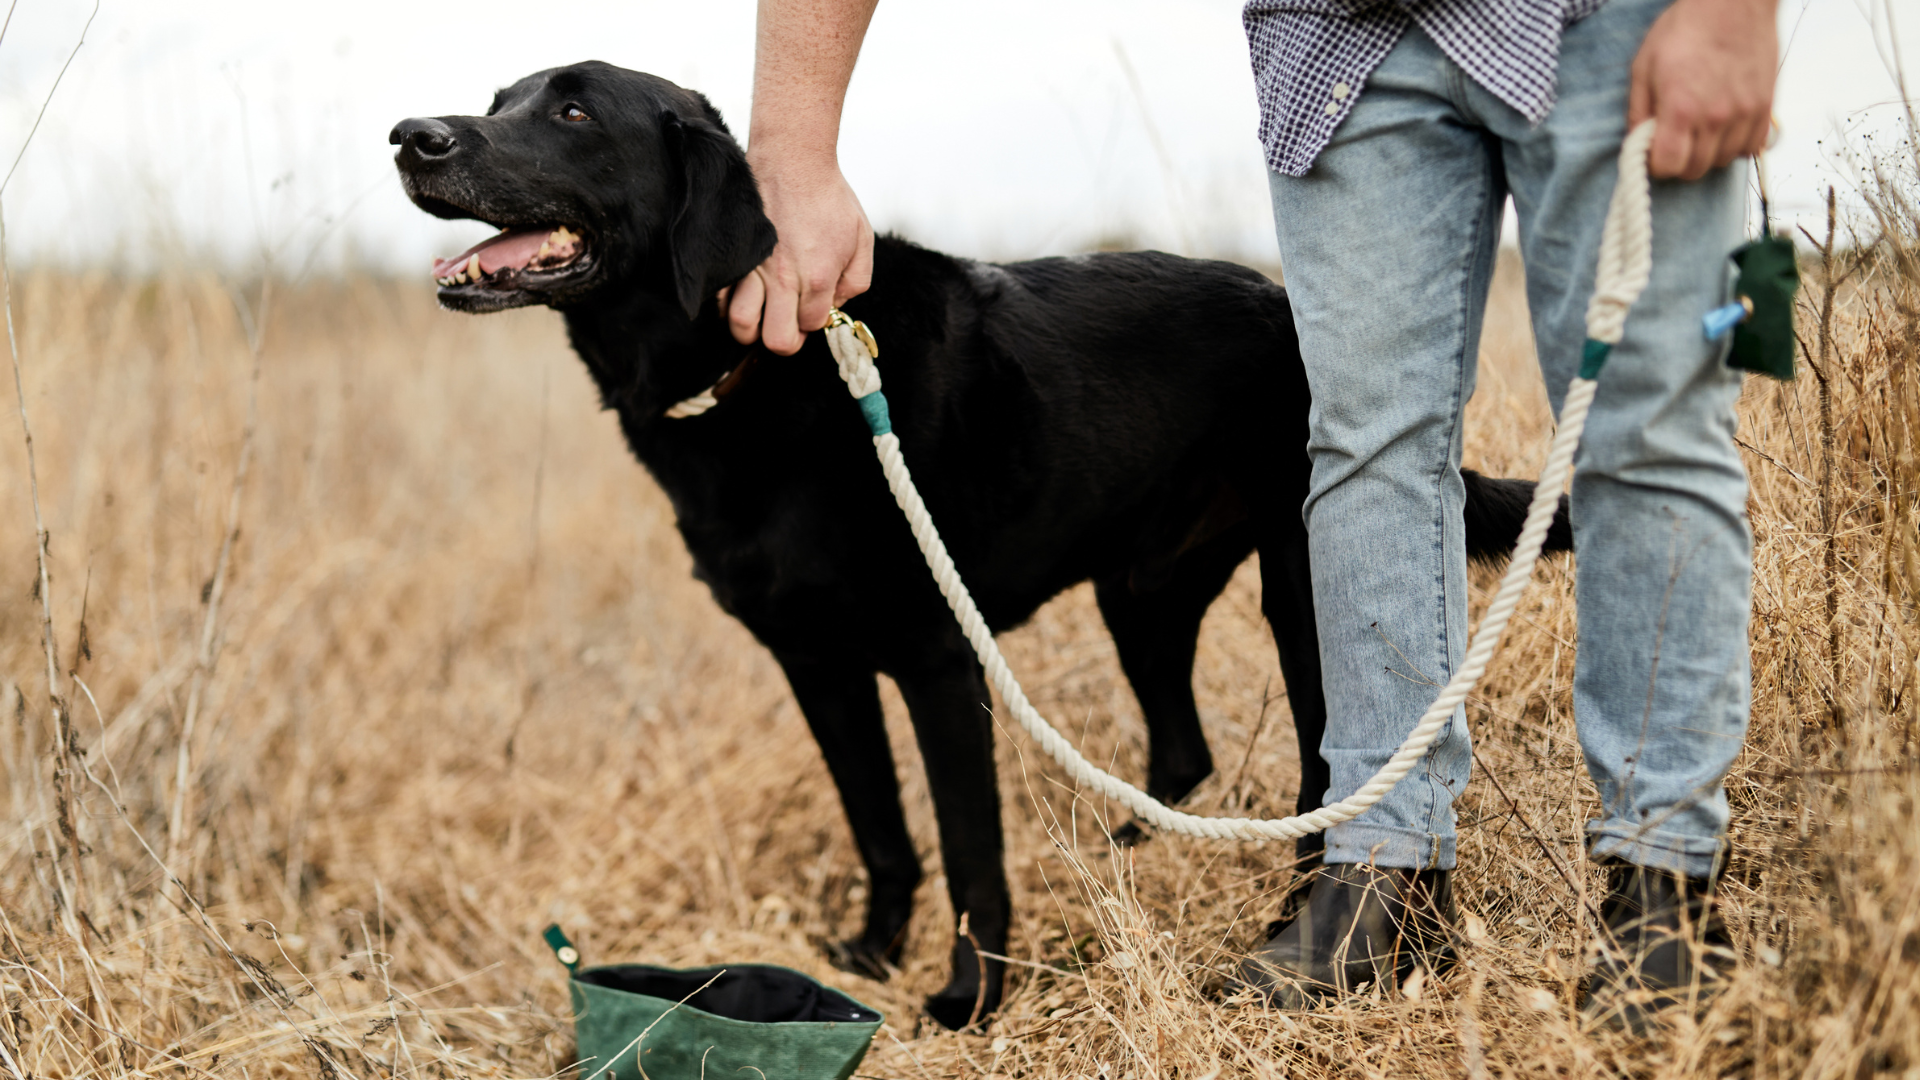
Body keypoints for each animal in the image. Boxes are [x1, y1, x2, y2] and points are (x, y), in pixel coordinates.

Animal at [393, 58, 1574, 1022]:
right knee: (1181, 748)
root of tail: (1284, 307)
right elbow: (878, 826)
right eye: (499, 99)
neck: (753, 371)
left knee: (1325, 766)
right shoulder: (814, 664)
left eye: (575, 111)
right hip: (1139, 594)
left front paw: (969, 996)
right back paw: (1123, 855)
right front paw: (869, 954)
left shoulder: (935, 661)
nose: (412, 134)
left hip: (1302, 589)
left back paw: (1303, 913)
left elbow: (969, 851)